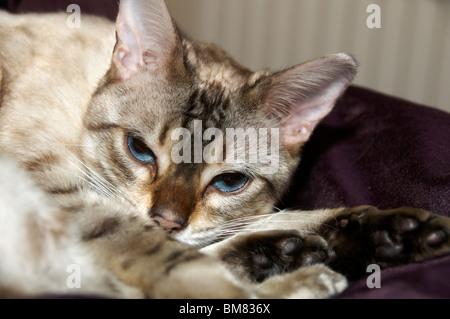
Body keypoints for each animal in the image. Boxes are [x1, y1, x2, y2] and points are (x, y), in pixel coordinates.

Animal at [0, 0, 450, 300]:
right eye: (140, 150)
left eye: (230, 181)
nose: (166, 221)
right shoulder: (59, 187)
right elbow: (178, 264)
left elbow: (275, 217)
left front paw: (397, 234)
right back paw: (300, 268)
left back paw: (291, 254)